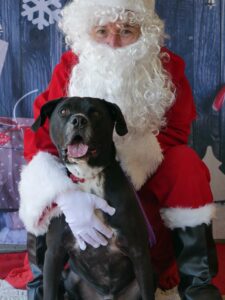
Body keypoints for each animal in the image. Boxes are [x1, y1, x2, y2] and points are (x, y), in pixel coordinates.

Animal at [31, 97, 155, 298]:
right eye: (63, 111)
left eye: (96, 113)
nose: (78, 120)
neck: (88, 176)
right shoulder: (54, 254)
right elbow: (50, 292)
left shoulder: (139, 252)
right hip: (70, 277)